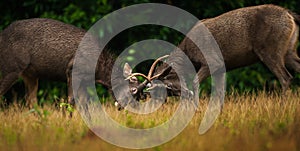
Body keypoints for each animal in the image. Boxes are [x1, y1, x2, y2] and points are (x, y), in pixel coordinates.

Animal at [0, 17, 143, 110]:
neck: (98, 72)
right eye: (133, 90)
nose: (126, 108)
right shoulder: (72, 70)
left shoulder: (85, 81)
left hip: (30, 75)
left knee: (31, 101)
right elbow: (71, 101)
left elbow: (84, 104)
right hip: (11, 67)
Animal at [123, 4, 300, 109]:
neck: (189, 56)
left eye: (167, 88)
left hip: (270, 49)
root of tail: (290, 15)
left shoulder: (213, 62)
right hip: (289, 51)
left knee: (286, 77)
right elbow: (220, 93)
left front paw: (196, 109)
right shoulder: (221, 69)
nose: (155, 106)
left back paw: (282, 107)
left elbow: (195, 81)